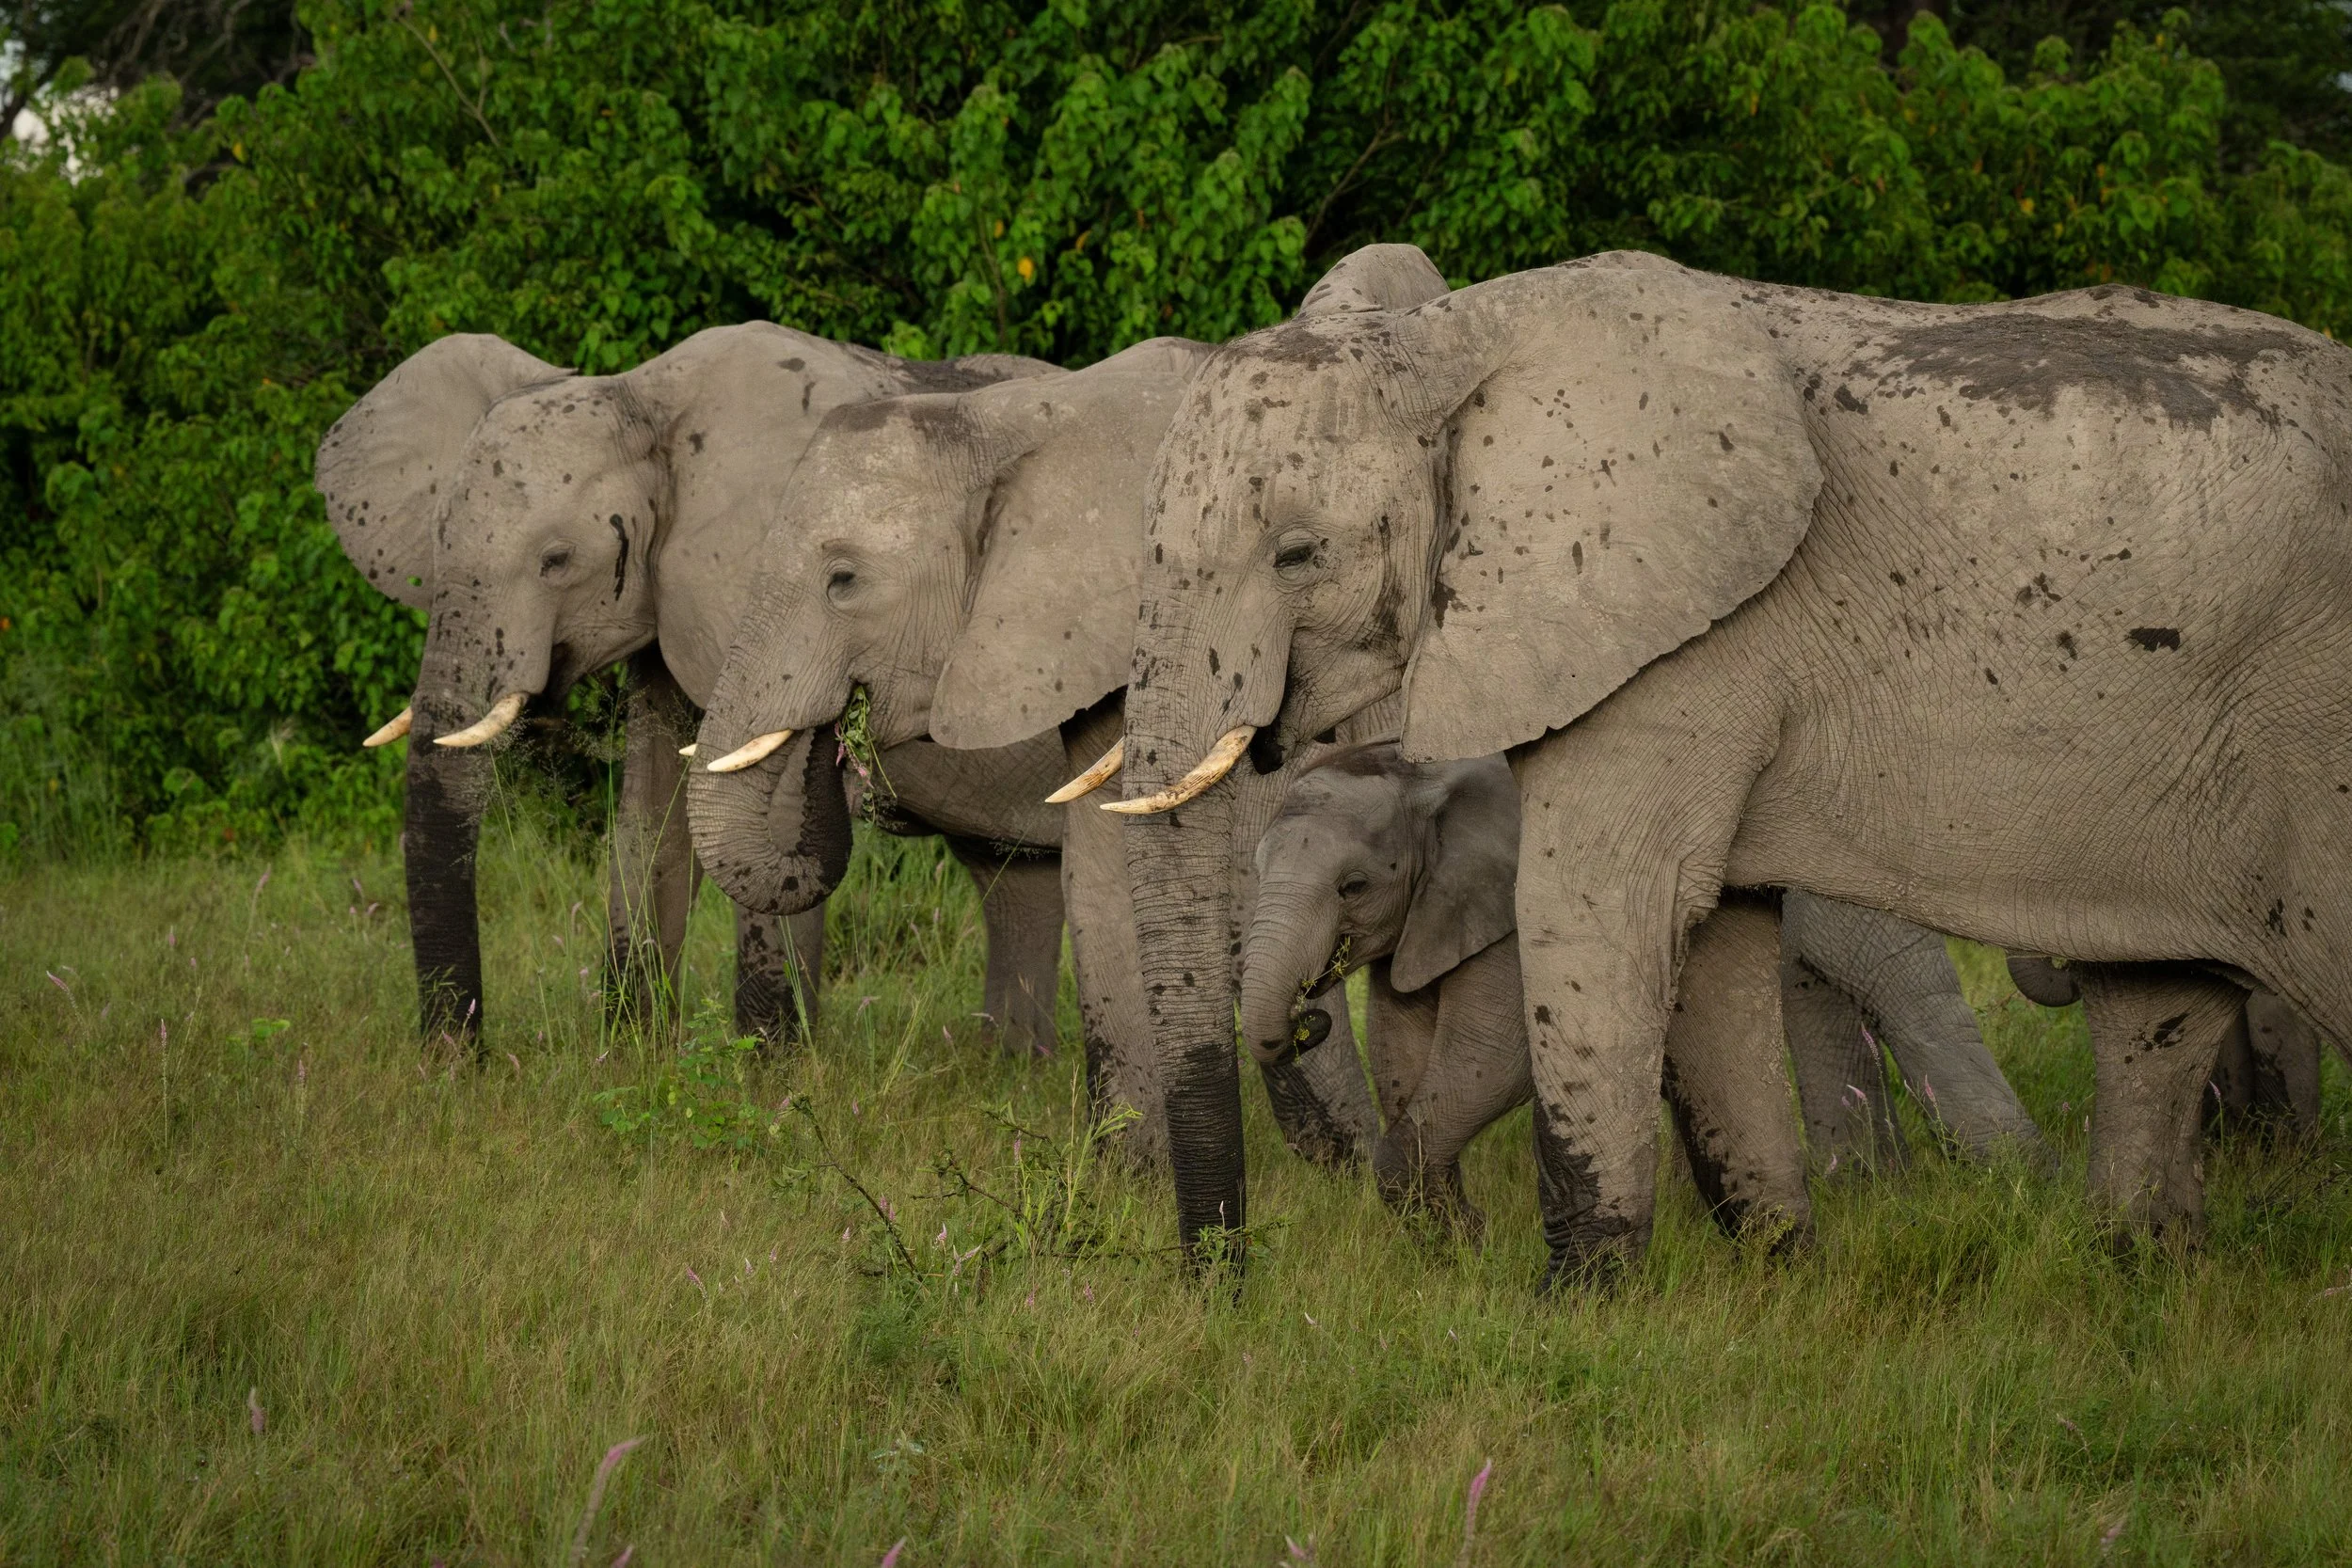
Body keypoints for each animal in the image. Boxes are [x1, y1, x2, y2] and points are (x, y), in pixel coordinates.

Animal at [315, 326, 1070, 1053]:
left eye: (557, 560)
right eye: (437, 539)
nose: (458, 1056)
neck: (645, 397)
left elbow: (768, 816)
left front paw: (771, 1070)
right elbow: (648, 815)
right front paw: (635, 1054)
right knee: (1017, 876)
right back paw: (1007, 1068)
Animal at [1239, 745, 2044, 1237]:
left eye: (1353, 886)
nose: (1306, 1015)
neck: (1423, 771)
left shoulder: (1514, 908)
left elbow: (1492, 1058)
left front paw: (1464, 1237)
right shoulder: (1425, 920)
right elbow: (1404, 1055)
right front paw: (1456, 1241)